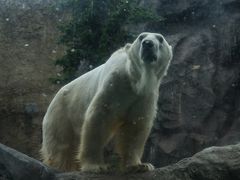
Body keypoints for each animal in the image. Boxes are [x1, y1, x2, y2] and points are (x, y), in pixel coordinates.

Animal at [41, 32, 172, 173]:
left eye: (160, 38)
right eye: (141, 37)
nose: (148, 43)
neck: (135, 81)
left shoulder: (144, 96)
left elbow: (135, 127)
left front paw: (140, 165)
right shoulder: (114, 85)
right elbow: (99, 118)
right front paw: (96, 166)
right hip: (62, 113)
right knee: (61, 145)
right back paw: (60, 167)